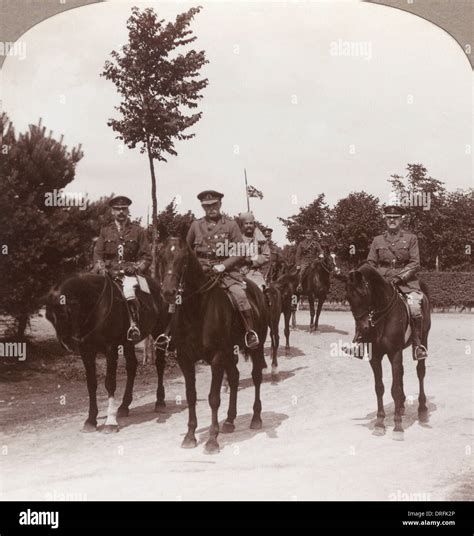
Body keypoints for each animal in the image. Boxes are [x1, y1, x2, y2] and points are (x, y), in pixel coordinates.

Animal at [45, 274, 168, 434]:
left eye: (65, 313)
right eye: (49, 317)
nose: (67, 344)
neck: (96, 308)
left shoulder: (111, 350)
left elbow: (110, 383)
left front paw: (110, 422)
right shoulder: (87, 352)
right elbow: (91, 384)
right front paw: (91, 420)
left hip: (159, 332)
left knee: (160, 365)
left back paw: (160, 402)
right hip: (128, 343)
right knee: (132, 366)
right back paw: (124, 406)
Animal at [159, 239, 268, 452]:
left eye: (184, 260)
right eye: (162, 257)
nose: (168, 292)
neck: (196, 310)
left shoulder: (217, 357)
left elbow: (213, 398)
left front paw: (211, 440)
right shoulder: (185, 359)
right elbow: (191, 396)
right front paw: (190, 436)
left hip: (255, 348)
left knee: (256, 376)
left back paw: (256, 418)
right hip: (230, 353)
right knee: (234, 377)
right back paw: (230, 421)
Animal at [342, 262, 432, 436]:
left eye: (364, 293)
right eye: (348, 297)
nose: (363, 328)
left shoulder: (394, 353)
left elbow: (395, 389)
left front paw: (397, 426)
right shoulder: (375, 356)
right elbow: (379, 387)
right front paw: (379, 423)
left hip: (423, 337)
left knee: (421, 372)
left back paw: (422, 409)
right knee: (401, 372)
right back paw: (402, 406)